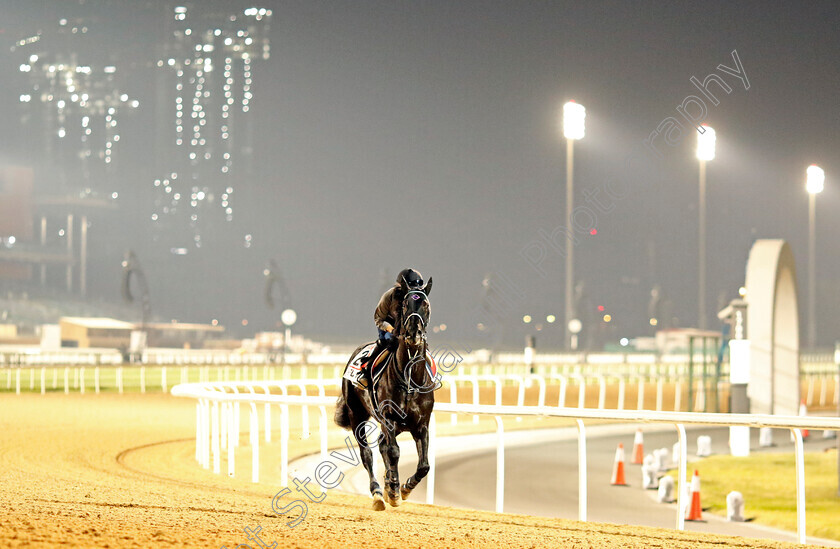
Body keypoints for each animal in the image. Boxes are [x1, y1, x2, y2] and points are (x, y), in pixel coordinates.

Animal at [334, 278, 440, 510]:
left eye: (426, 305)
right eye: (405, 305)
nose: (413, 334)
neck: (410, 380)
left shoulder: (421, 423)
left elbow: (424, 465)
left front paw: (405, 488)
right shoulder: (389, 418)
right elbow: (393, 452)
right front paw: (393, 490)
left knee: (382, 443)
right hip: (357, 415)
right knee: (367, 453)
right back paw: (377, 493)